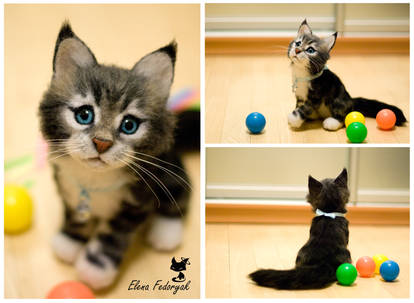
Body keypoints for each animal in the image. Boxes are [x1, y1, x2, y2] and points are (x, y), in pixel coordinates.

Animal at [38, 23, 191, 290]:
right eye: (84, 115)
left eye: (129, 125)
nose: (102, 142)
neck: (95, 179)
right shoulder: (67, 186)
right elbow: (76, 215)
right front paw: (70, 240)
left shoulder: (138, 201)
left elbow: (112, 236)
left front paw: (95, 268)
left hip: (171, 171)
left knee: (180, 197)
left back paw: (166, 232)